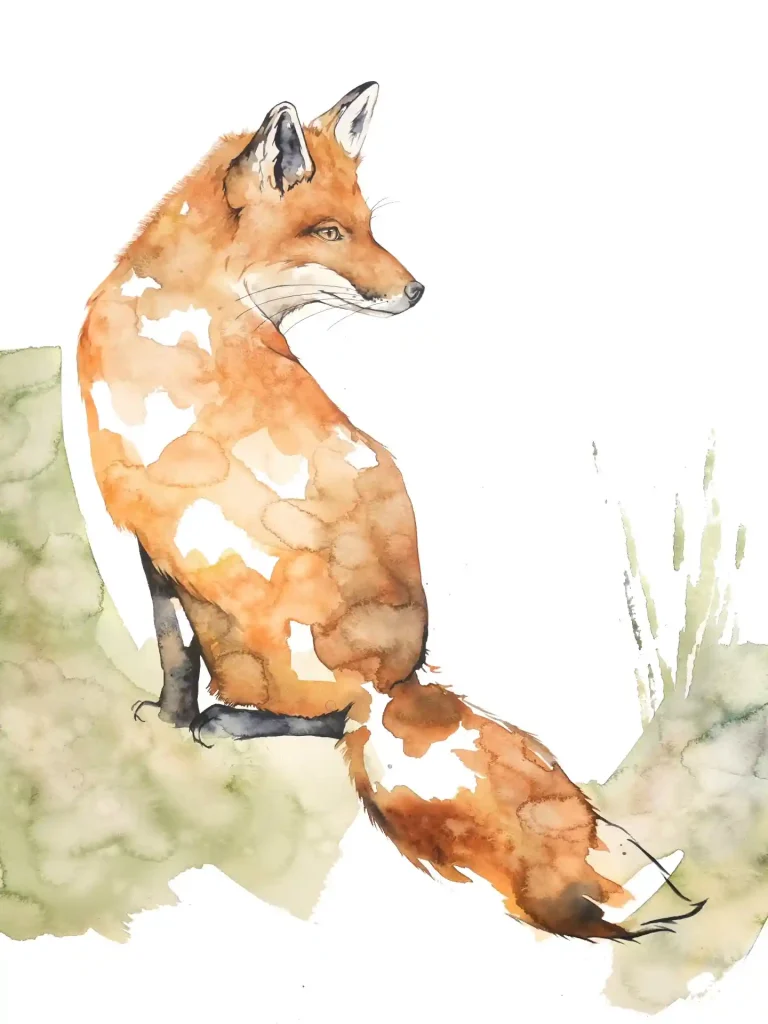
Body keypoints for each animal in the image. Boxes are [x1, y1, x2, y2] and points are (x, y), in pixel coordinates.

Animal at [76, 82, 704, 941]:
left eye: (367, 223)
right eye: (329, 231)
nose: (415, 291)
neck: (185, 318)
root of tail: (401, 678)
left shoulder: (165, 524)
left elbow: (181, 652)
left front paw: (187, 721)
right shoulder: (152, 534)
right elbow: (173, 649)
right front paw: (167, 717)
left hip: (280, 613)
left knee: (335, 717)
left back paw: (232, 720)